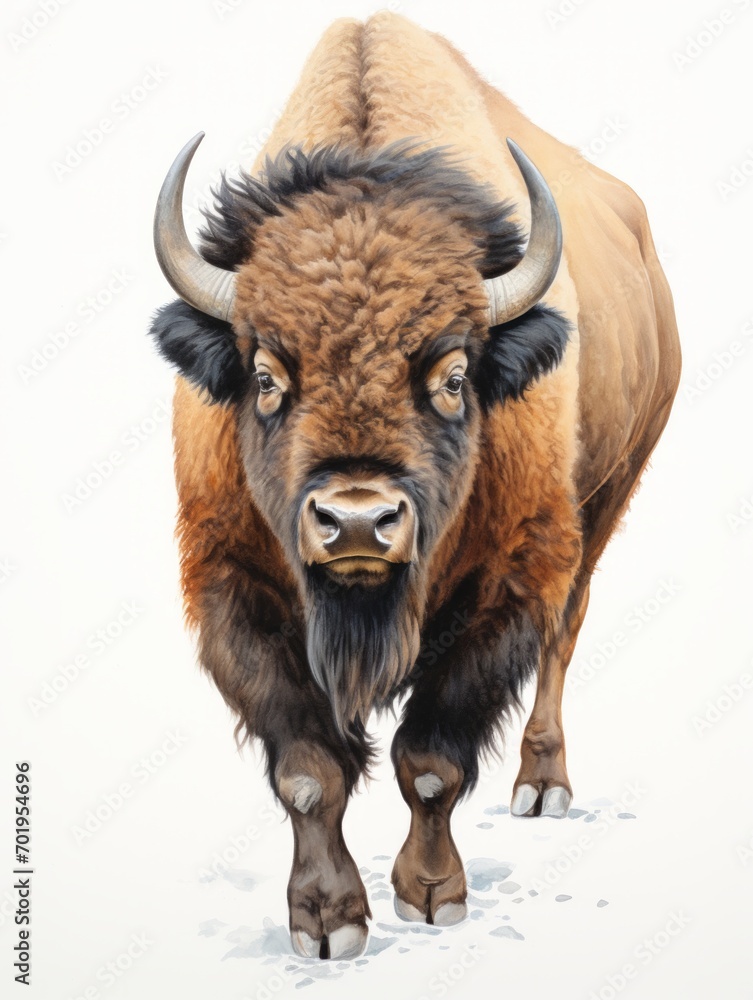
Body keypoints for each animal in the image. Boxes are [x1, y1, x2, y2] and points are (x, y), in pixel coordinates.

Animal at [150, 13, 680, 960]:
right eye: (265, 375)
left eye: (453, 376)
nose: (357, 521)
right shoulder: (227, 583)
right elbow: (310, 772)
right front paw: (327, 923)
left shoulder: (511, 576)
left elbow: (430, 761)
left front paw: (433, 897)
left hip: (609, 492)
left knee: (565, 634)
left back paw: (542, 785)